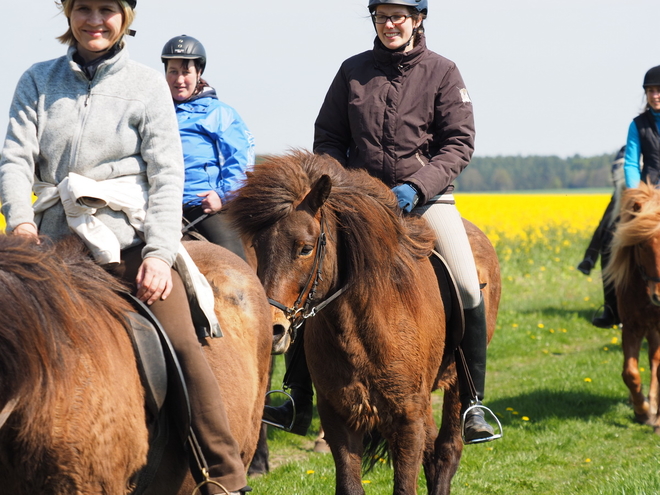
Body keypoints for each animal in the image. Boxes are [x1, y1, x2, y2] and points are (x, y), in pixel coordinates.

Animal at [228, 152, 500, 495]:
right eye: (257, 247)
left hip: (453, 386)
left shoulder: (407, 417)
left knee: (447, 452)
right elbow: (350, 485)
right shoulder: (338, 416)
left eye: (305, 248)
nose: (272, 329)